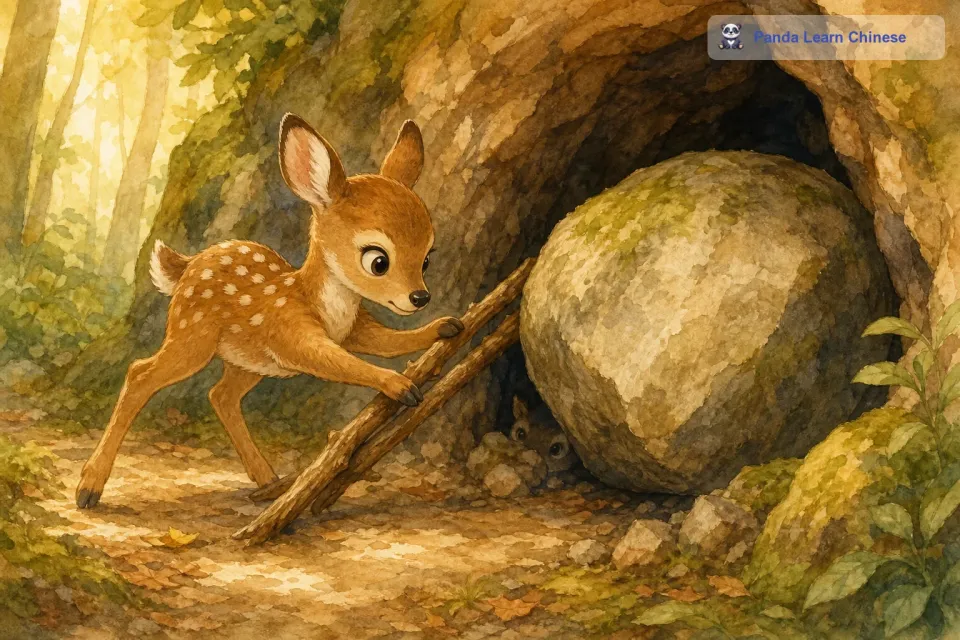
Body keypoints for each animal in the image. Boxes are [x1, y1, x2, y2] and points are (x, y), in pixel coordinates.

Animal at [76, 114, 464, 509]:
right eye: (378, 260)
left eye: (427, 258)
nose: (420, 297)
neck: (322, 304)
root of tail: (186, 268)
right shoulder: (288, 329)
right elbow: (340, 362)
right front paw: (398, 384)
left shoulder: (354, 328)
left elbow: (387, 342)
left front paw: (446, 326)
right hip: (193, 333)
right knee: (141, 373)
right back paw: (89, 488)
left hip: (248, 361)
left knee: (221, 395)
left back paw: (268, 480)